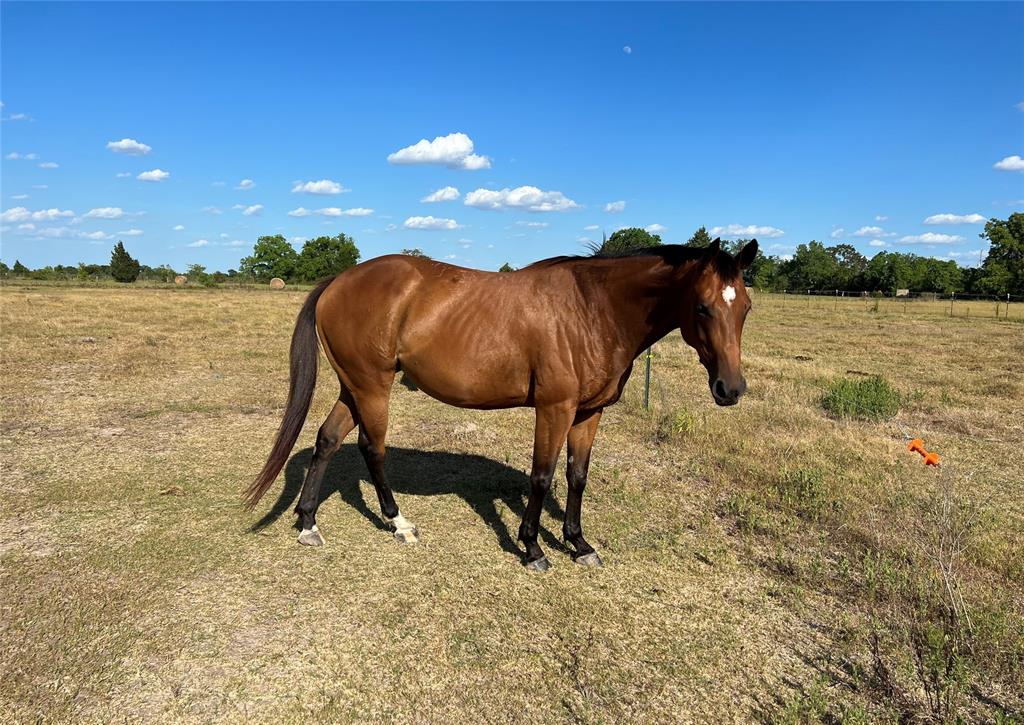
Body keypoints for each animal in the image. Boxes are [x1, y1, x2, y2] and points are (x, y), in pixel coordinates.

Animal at [245, 237, 761, 573]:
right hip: (372, 387)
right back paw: (399, 524)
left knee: (328, 440)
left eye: (745, 308)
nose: (731, 389)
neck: (594, 310)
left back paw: (308, 521)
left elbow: (576, 477)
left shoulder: (589, 413)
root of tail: (338, 281)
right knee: (373, 450)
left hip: (354, 387)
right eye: (702, 307)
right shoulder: (554, 409)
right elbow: (542, 476)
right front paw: (533, 549)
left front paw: (579, 543)